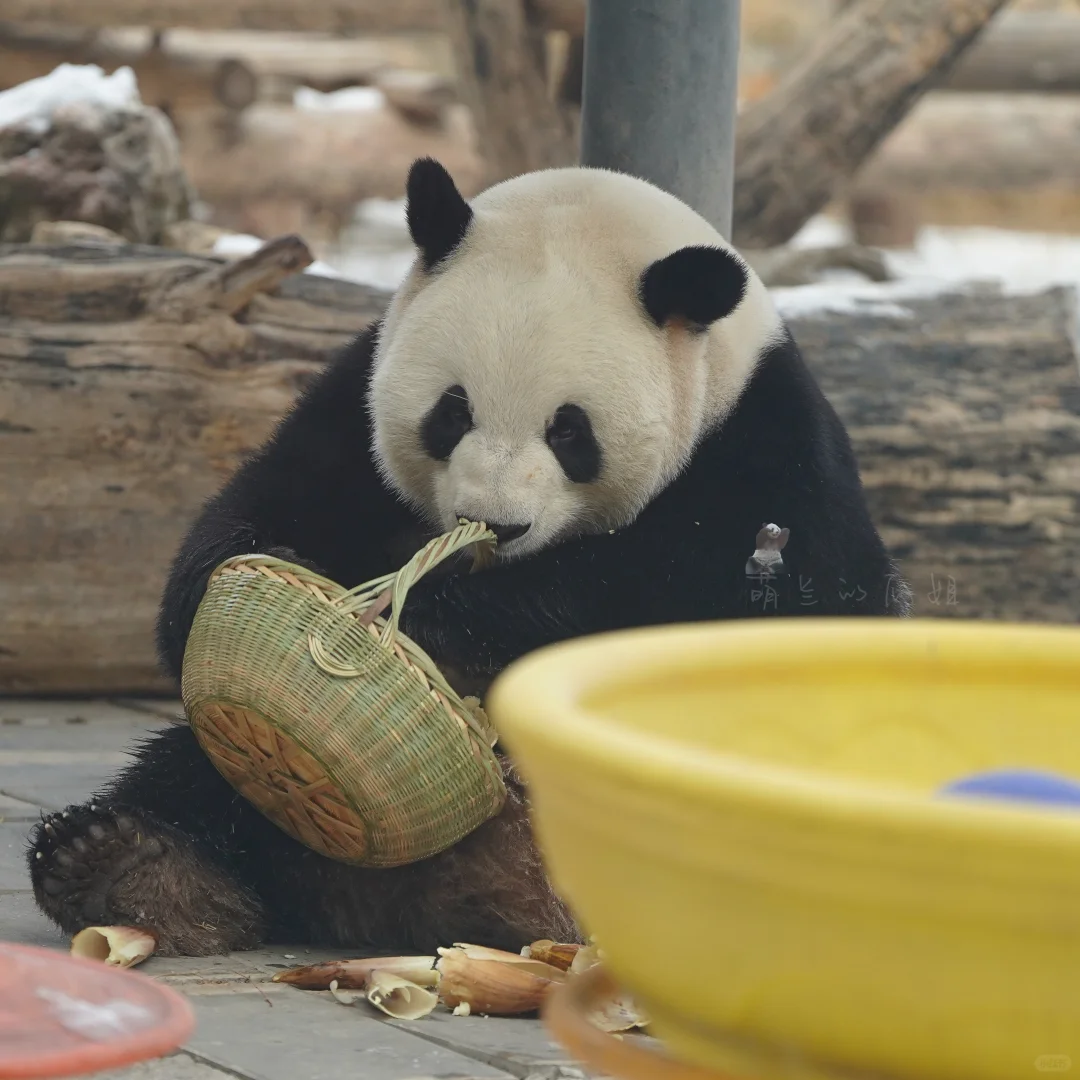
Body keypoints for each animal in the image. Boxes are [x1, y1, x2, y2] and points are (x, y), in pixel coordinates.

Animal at [27, 157, 911, 954]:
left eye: (570, 430)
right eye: (452, 412)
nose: (493, 522)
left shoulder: (768, 446)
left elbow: (734, 602)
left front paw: (441, 620)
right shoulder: (353, 404)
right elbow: (252, 517)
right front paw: (269, 575)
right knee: (198, 779)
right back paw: (135, 871)